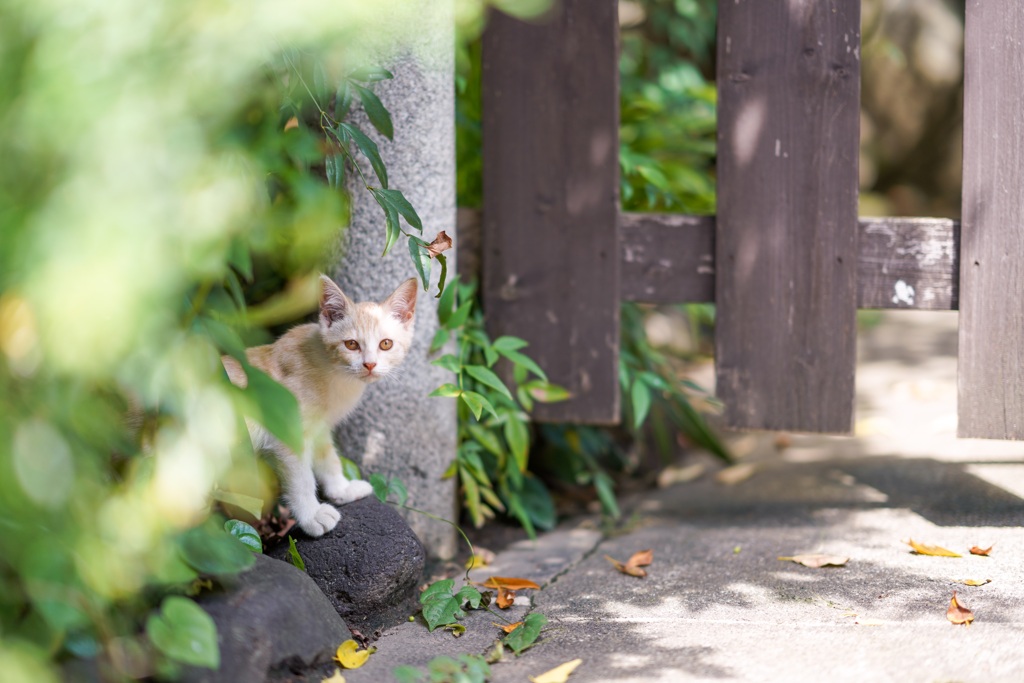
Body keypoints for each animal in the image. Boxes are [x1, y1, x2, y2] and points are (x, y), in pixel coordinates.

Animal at [224, 274, 415, 536]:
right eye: (351, 345)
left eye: (386, 344)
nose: (369, 365)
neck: (334, 373)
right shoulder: (289, 432)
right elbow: (302, 478)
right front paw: (311, 515)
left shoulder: (320, 427)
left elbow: (328, 457)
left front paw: (342, 489)